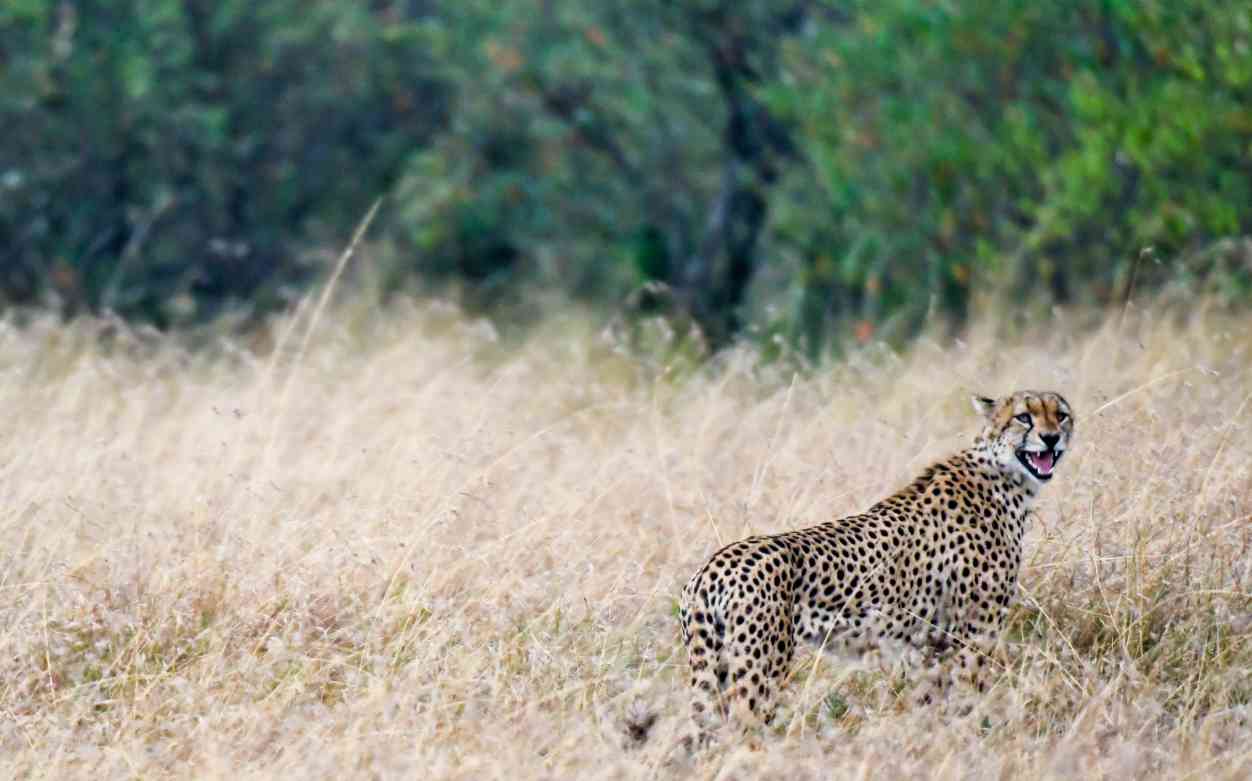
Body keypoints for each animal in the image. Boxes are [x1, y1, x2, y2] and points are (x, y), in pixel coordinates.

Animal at [681, 390, 1071, 735]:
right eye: (1024, 417)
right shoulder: (974, 634)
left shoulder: (930, 645)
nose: (1051, 438)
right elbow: (967, 699)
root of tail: (711, 567)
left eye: (1061, 415)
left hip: (713, 667)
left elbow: (929, 701)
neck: (1005, 477)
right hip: (760, 669)